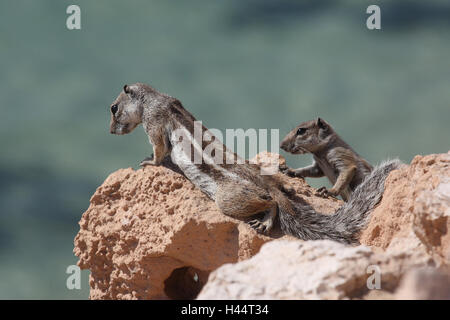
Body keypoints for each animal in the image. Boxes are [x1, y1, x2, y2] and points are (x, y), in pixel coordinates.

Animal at [108, 84, 400, 244]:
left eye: (113, 108)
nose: (110, 131)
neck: (154, 99)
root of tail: (269, 187)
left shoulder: (155, 125)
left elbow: (159, 150)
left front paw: (149, 162)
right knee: (280, 192)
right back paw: (287, 186)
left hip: (228, 199)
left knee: (270, 204)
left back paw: (265, 222)